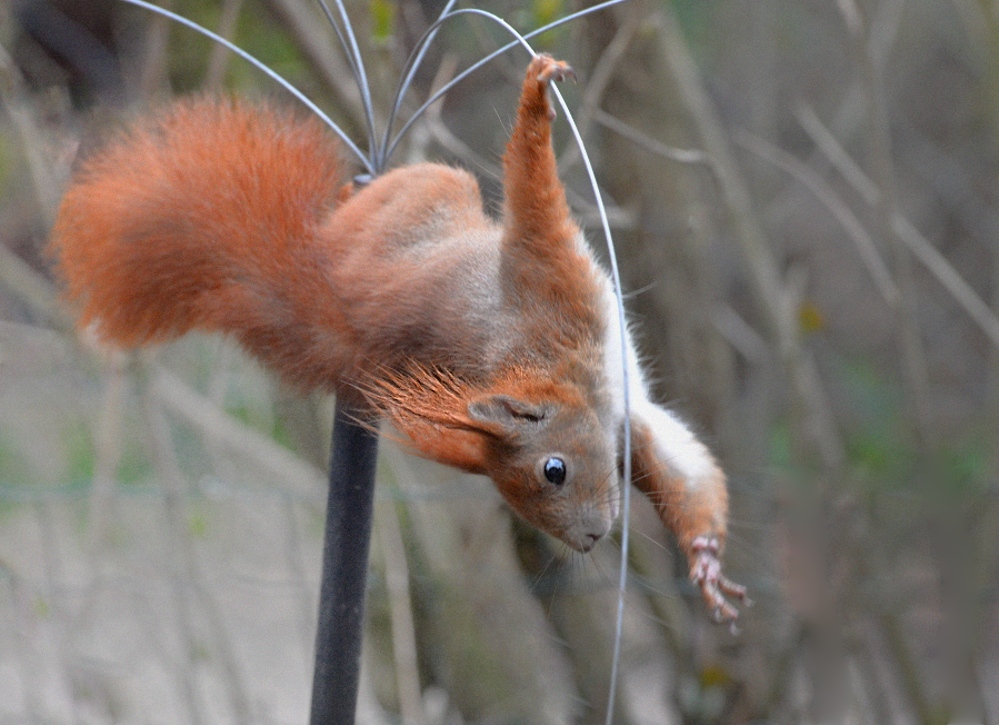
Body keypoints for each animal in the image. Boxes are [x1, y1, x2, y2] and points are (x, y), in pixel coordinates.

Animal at [50, 53, 748, 620]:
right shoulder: (561, 310)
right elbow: (534, 194)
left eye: (553, 470)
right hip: (425, 193)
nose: (590, 539)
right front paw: (535, 102)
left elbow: (682, 477)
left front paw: (705, 563)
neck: (558, 378)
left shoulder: (598, 371)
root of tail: (335, 291)